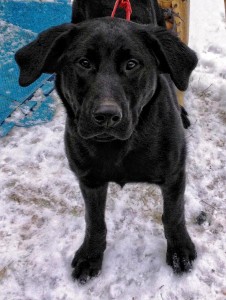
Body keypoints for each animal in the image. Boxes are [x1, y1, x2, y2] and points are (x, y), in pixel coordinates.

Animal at [15, 0, 197, 284]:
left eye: (132, 64)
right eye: (84, 63)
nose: (107, 116)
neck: (119, 146)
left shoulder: (175, 173)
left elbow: (174, 215)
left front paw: (179, 250)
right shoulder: (89, 180)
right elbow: (94, 221)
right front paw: (91, 256)